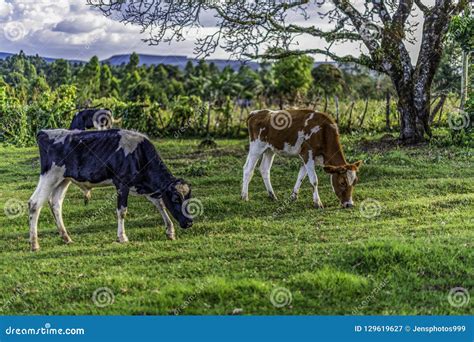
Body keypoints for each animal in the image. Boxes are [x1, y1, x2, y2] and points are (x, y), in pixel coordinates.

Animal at [28, 128, 192, 251]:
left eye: (189, 197)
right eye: (176, 198)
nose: (189, 223)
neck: (139, 154)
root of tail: (45, 132)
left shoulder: (143, 186)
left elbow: (160, 204)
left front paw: (170, 231)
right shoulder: (122, 183)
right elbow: (122, 211)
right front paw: (122, 237)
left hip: (63, 179)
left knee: (56, 203)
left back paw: (66, 238)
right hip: (50, 176)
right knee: (34, 203)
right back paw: (35, 244)